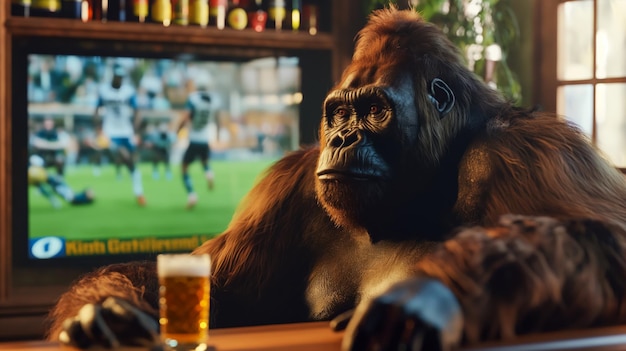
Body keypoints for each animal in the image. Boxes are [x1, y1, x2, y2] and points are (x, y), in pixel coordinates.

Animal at [46, 6, 624, 351]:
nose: (343, 138)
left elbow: (596, 239)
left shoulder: (530, 153)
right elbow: (211, 281)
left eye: (374, 111)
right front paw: (104, 309)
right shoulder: (282, 190)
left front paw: (429, 295)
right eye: (340, 113)